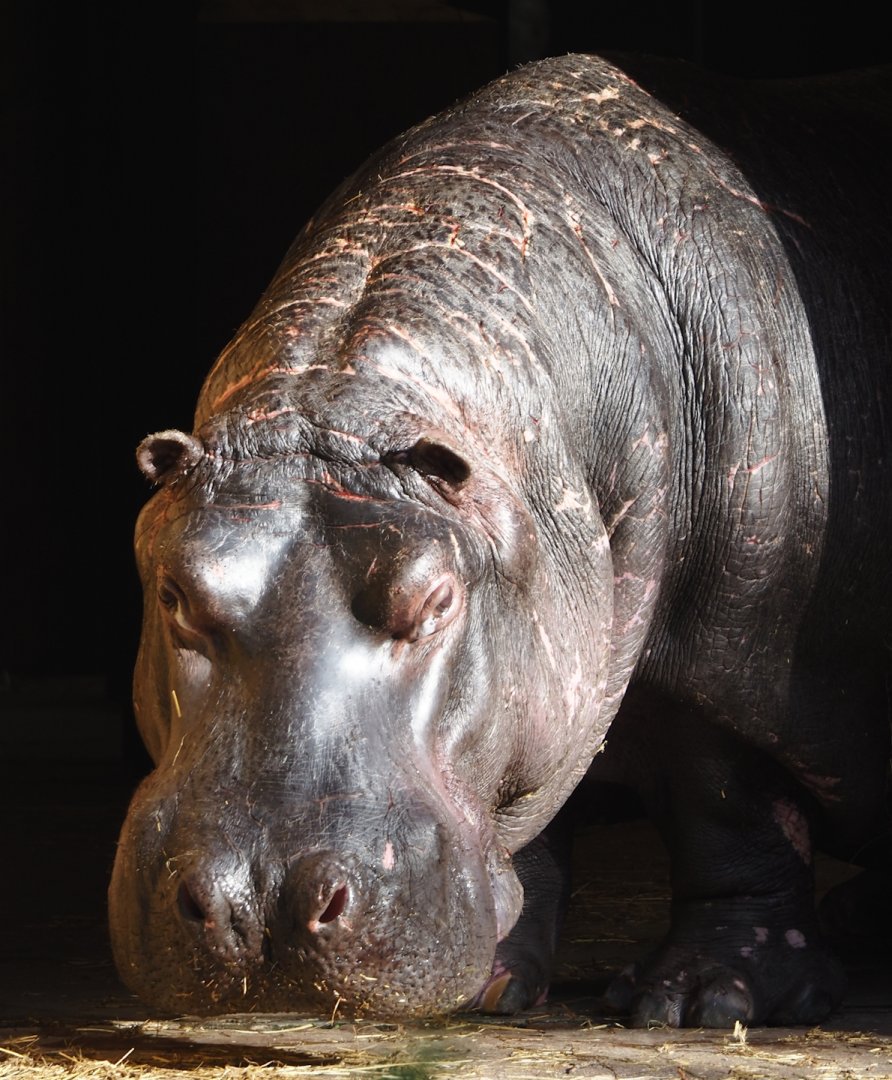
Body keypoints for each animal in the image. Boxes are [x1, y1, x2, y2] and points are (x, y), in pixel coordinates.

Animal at [109, 53, 892, 1027]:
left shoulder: (725, 643)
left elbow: (727, 809)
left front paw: (704, 1000)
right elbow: (533, 822)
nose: (262, 899)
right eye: (175, 592)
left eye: (435, 597)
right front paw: (492, 987)